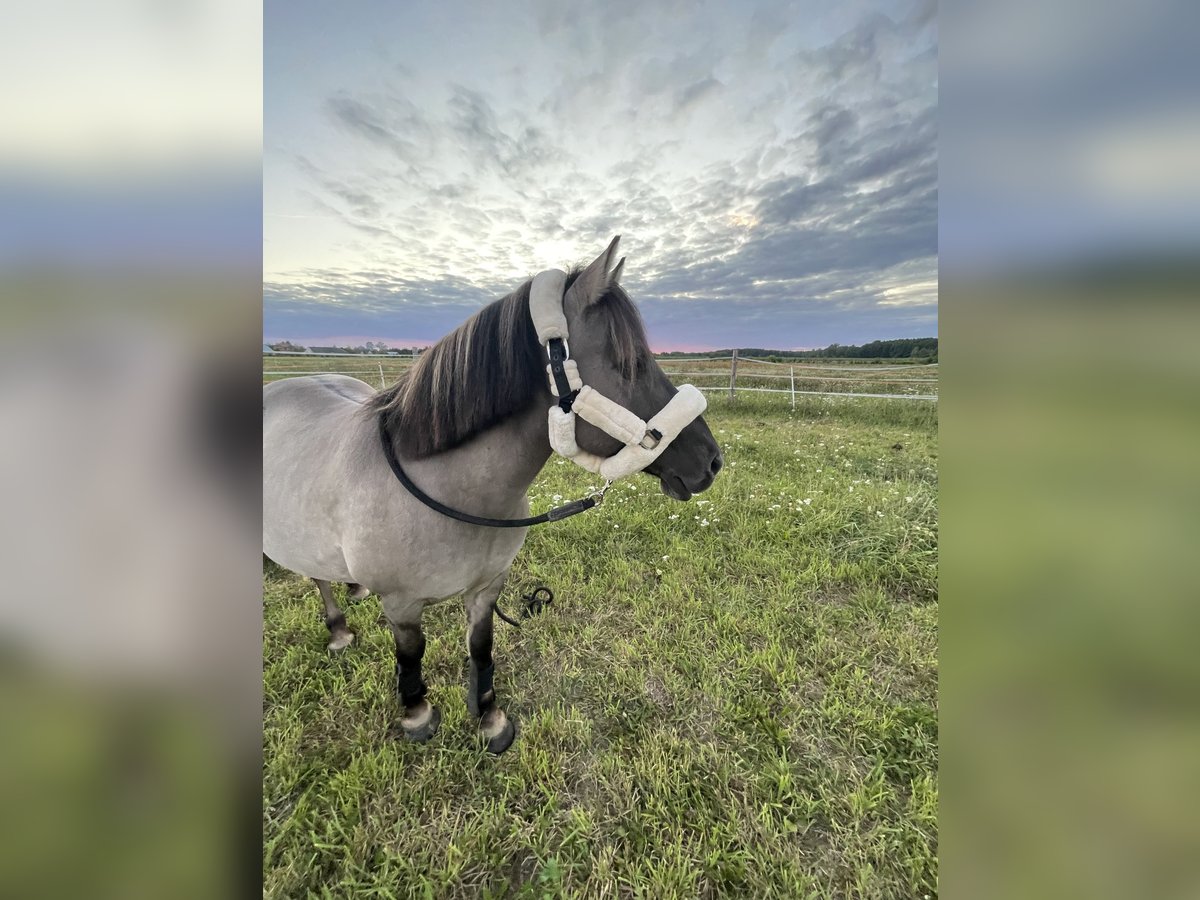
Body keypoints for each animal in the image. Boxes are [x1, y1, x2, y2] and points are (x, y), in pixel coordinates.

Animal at [263, 237, 722, 754]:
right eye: (630, 364)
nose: (711, 461)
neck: (450, 493)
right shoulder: (401, 606)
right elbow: (411, 656)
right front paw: (417, 714)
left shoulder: (487, 590)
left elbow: (481, 650)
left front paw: (489, 720)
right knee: (316, 577)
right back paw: (339, 631)